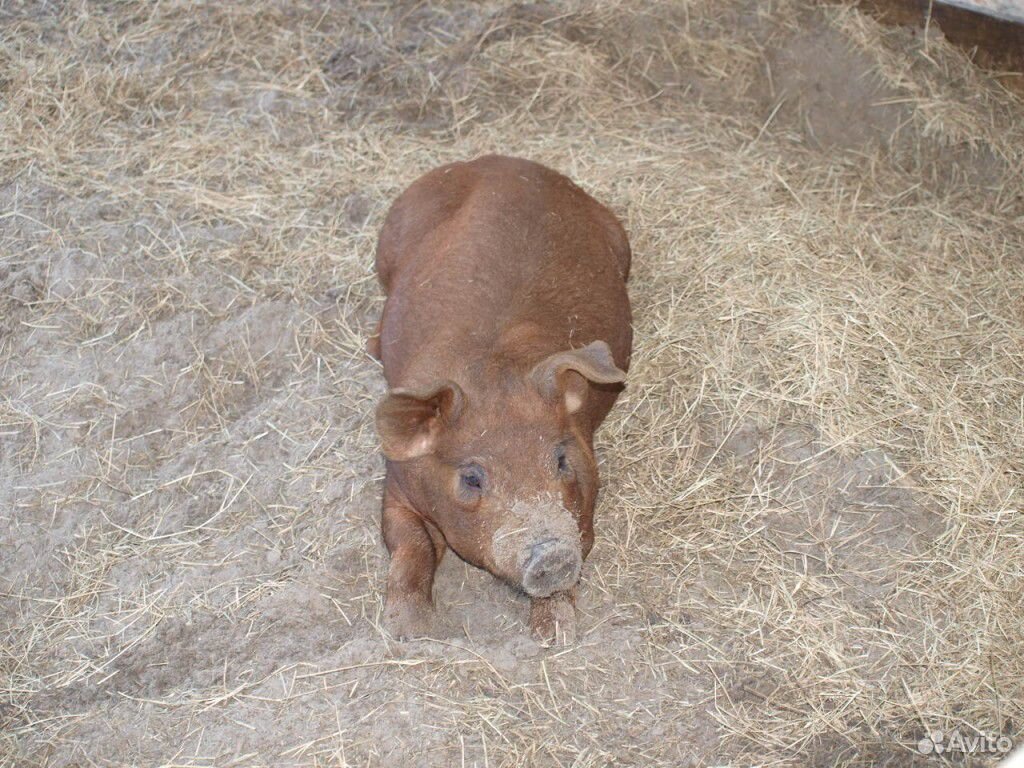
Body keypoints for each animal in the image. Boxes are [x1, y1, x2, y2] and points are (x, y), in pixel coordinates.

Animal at [370, 154, 630, 643]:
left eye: (560, 460)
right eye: (472, 477)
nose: (550, 553)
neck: (491, 371)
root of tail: (496, 160)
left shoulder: (585, 495)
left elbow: (581, 544)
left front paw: (553, 636)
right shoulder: (396, 485)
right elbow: (411, 543)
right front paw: (408, 630)